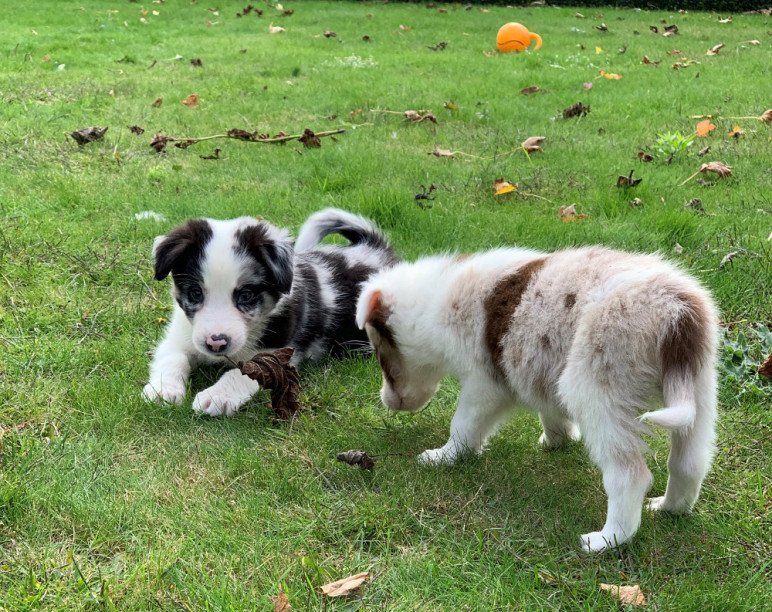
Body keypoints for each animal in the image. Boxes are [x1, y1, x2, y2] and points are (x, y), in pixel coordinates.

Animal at [142, 209, 398, 416]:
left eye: (246, 295)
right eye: (195, 293)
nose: (216, 343)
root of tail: (375, 249)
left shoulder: (277, 353)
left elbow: (242, 373)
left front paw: (218, 396)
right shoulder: (180, 336)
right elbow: (172, 358)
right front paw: (163, 389)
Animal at [356, 246, 716, 552]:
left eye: (380, 355)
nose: (385, 402)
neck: (435, 302)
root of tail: (675, 313)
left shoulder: (483, 384)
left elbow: (463, 426)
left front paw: (444, 457)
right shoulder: (540, 368)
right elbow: (550, 410)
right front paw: (557, 440)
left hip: (595, 386)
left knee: (629, 476)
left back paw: (607, 539)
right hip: (698, 388)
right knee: (689, 463)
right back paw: (669, 508)